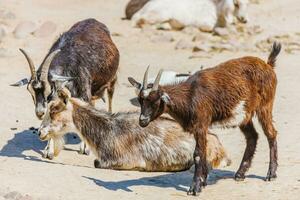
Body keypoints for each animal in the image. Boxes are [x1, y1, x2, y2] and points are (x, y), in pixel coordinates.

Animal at [37, 86, 230, 171]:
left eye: (54, 110)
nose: (40, 132)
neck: (108, 130)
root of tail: (220, 146)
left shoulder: (123, 159)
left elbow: (97, 163)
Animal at [129, 42, 282, 195]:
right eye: (140, 100)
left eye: (156, 101)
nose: (142, 120)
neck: (190, 95)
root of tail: (268, 64)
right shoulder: (201, 128)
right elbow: (203, 153)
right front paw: (202, 182)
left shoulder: (201, 125)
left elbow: (198, 154)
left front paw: (195, 187)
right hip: (243, 115)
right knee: (252, 137)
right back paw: (240, 174)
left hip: (265, 106)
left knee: (271, 133)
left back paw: (271, 174)